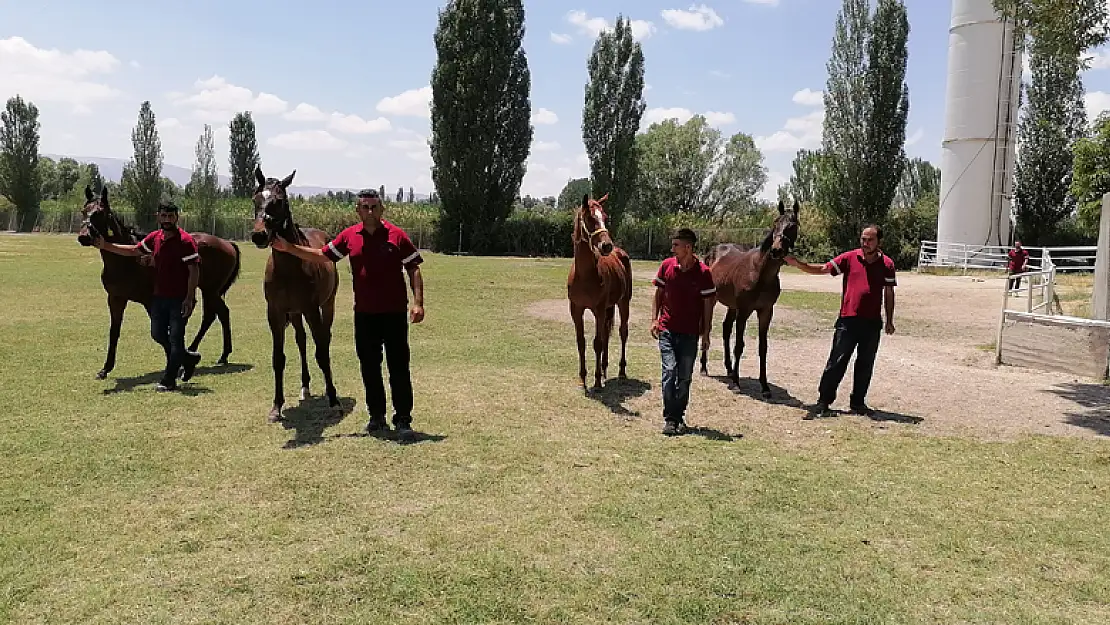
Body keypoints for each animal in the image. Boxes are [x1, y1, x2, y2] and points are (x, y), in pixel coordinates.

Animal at [77, 185, 243, 379]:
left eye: (100, 212)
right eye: (84, 211)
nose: (84, 237)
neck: (129, 261)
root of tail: (228, 244)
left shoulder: (151, 301)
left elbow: (164, 334)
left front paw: (179, 363)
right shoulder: (116, 299)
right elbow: (114, 332)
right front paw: (105, 369)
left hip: (211, 290)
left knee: (220, 313)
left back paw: (217, 354)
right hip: (209, 291)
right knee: (215, 314)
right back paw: (208, 352)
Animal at [250, 166, 339, 419]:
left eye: (279, 201)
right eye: (255, 199)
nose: (259, 235)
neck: (289, 268)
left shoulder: (312, 309)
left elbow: (321, 352)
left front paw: (333, 399)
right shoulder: (276, 313)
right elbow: (278, 358)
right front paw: (276, 406)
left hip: (326, 305)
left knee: (324, 338)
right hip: (297, 314)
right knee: (301, 340)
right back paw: (305, 387)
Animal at [563, 193, 634, 392]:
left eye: (605, 216)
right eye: (589, 218)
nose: (606, 246)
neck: (585, 275)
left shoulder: (599, 310)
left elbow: (597, 343)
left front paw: (595, 381)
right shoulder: (576, 310)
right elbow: (582, 342)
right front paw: (582, 379)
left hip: (623, 302)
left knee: (622, 332)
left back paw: (621, 372)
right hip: (609, 307)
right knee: (606, 335)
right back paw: (604, 370)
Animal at [697, 197, 803, 399]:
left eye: (793, 225)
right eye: (775, 223)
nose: (776, 250)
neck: (760, 273)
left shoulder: (766, 311)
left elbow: (763, 347)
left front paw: (765, 386)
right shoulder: (744, 311)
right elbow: (739, 345)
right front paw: (736, 384)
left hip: (732, 306)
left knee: (725, 329)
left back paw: (729, 369)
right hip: (711, 301)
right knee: (707, 328)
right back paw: (705, 368)